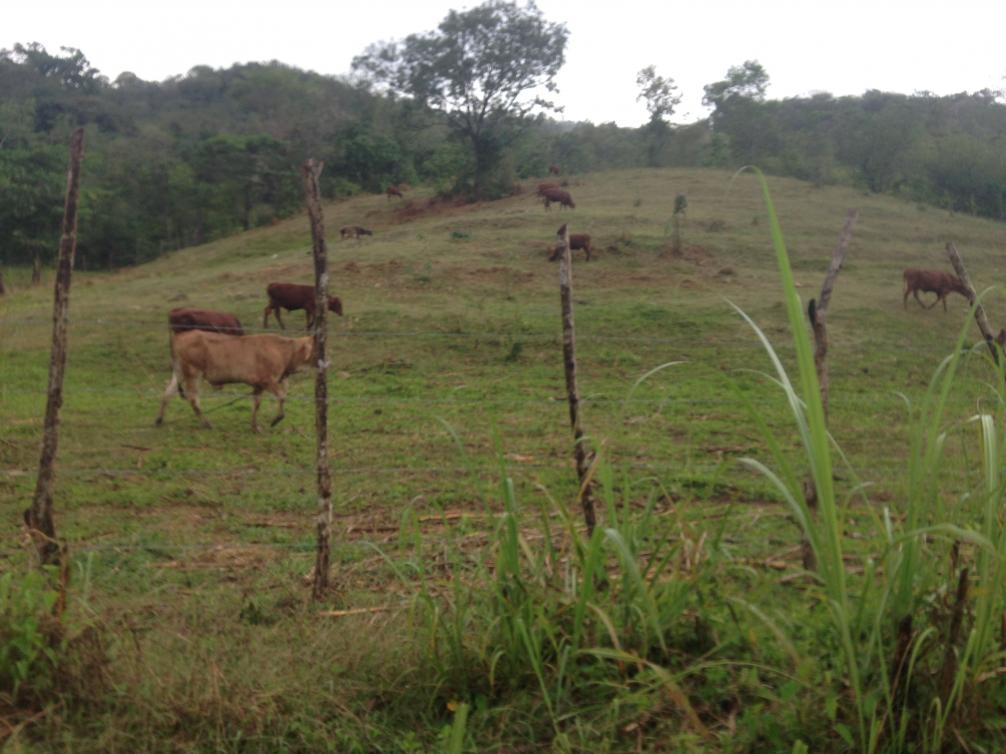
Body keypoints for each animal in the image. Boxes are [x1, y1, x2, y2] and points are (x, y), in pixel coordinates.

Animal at [155, 331, 314, 432]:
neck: (283, 351)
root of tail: (179, 336)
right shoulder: (267, 381)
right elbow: (282, 396)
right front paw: (276, 419)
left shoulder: (258, 385)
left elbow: (256, 405)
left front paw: (255, 427)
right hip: (193, 374)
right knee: (193, 399)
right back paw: (207, 424)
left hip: (179, 372)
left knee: (167, 393)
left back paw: (159, 420)